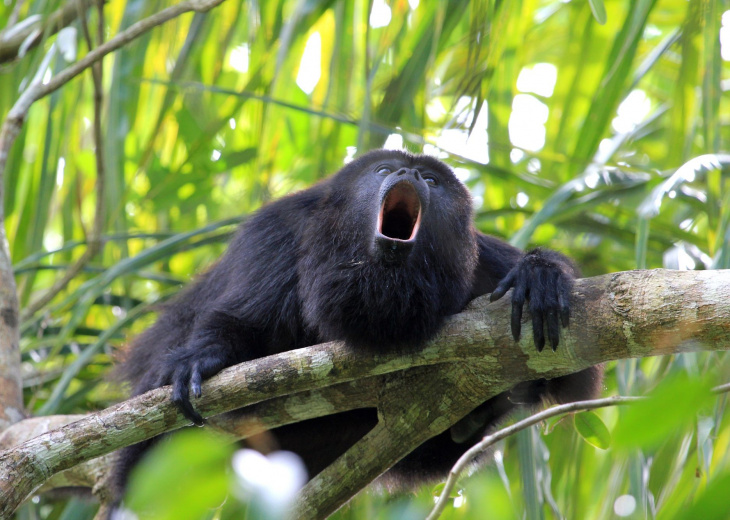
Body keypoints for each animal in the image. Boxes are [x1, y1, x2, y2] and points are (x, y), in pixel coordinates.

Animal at [115, 149, 604, 496]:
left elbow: (577, 374)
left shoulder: (482, 262)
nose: (407, 174)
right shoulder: (277, 233)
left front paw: (539, 275)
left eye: (431, 180)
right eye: (384, 169)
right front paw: (203, 357)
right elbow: (240, 321)